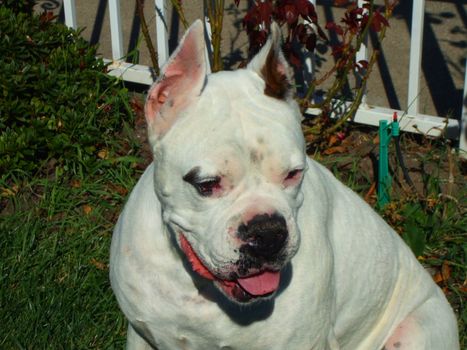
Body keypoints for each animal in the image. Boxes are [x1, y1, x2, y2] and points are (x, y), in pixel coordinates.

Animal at [110, 19, 460, 350]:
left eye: (294, 174)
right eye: (206, 184)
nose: (267, 233)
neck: (199, 289)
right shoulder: (141, 335)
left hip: (415, 332)